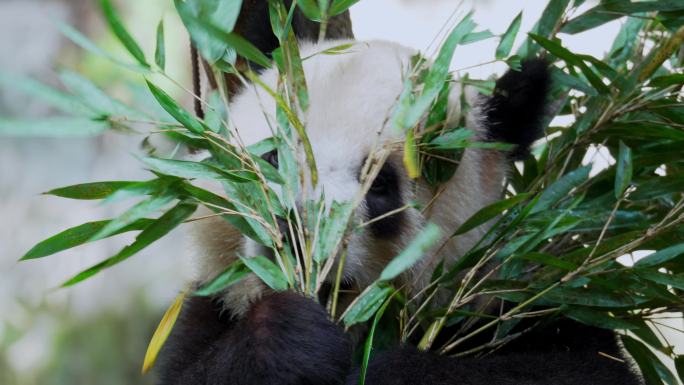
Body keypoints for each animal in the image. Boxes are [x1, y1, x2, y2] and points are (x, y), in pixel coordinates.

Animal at [158, 3, 644, 384]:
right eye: (274, 159)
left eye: (381, 184)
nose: (298, 231)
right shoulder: (209, 306)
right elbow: (196, 369)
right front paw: (291, 337)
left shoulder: (521, 298)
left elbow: (581, 365)